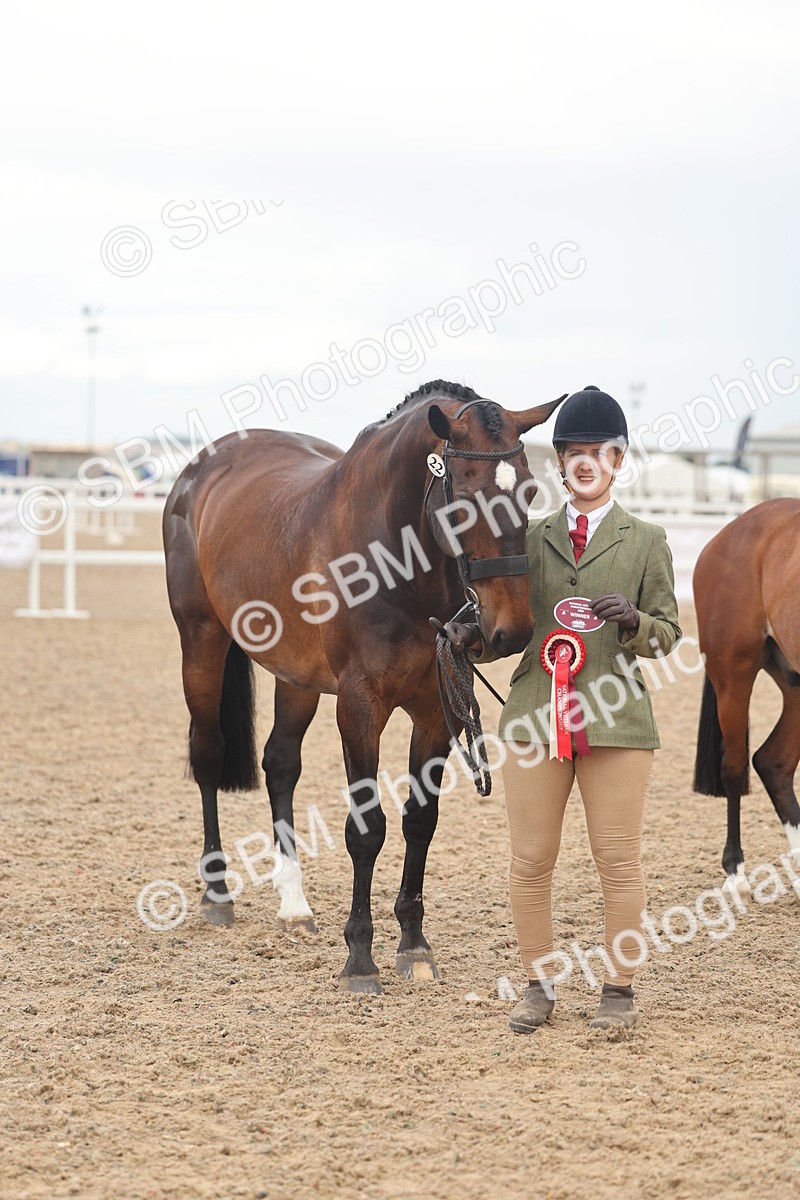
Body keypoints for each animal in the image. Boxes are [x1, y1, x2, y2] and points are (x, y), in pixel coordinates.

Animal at [163, 380, 566, 994]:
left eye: (529, 491)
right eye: (465, 498)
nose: (513, 630)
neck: (395, 563)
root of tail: (201, 467)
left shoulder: (435, 710)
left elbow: (420, 821)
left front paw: (414, 945)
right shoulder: (359, 707)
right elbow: (366, 828)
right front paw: (359, 955)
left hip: (296, 677)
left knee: (280, 764)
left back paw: (294, 905)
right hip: (201, 641)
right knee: (208, 754)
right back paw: (216, 893)